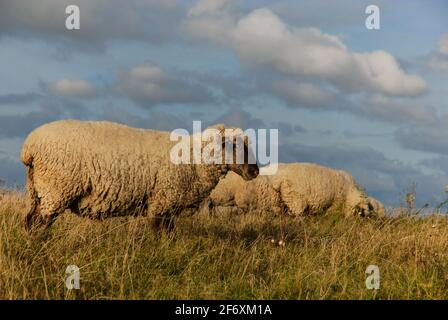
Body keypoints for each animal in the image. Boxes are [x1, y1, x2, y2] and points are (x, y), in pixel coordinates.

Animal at [21, 120, 260, 230]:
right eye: (234, 145)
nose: (255, 171)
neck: (195, 159)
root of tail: (29, 146)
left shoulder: (165, 204)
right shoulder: (162, 201)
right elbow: (163, 234)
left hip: (39, 190)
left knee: (29, 220)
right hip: (56, 188)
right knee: (40, 223)